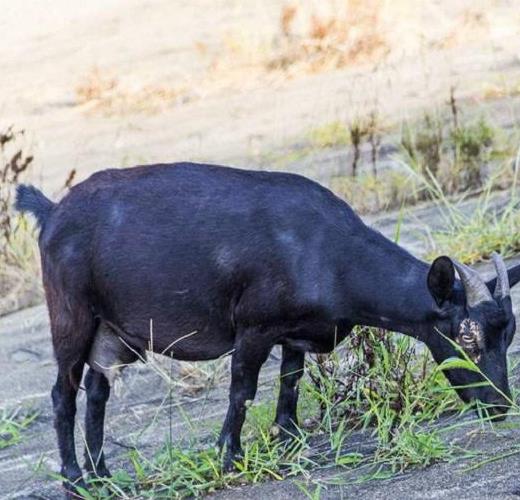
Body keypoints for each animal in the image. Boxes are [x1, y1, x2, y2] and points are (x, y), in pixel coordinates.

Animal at [15, 162, 520, 494]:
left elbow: (291, 380)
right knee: (62, 394)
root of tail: (52, 212)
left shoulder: (293, 332)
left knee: (98, 393)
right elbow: (242, 390)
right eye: (467, 335)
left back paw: (103, 475)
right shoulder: (254, 328)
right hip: (72, 317)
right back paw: (75, 480)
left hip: (113, 333)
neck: (325, 252)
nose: (499, 405)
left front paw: (288, 439)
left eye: (508, 334)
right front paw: (229, 455)